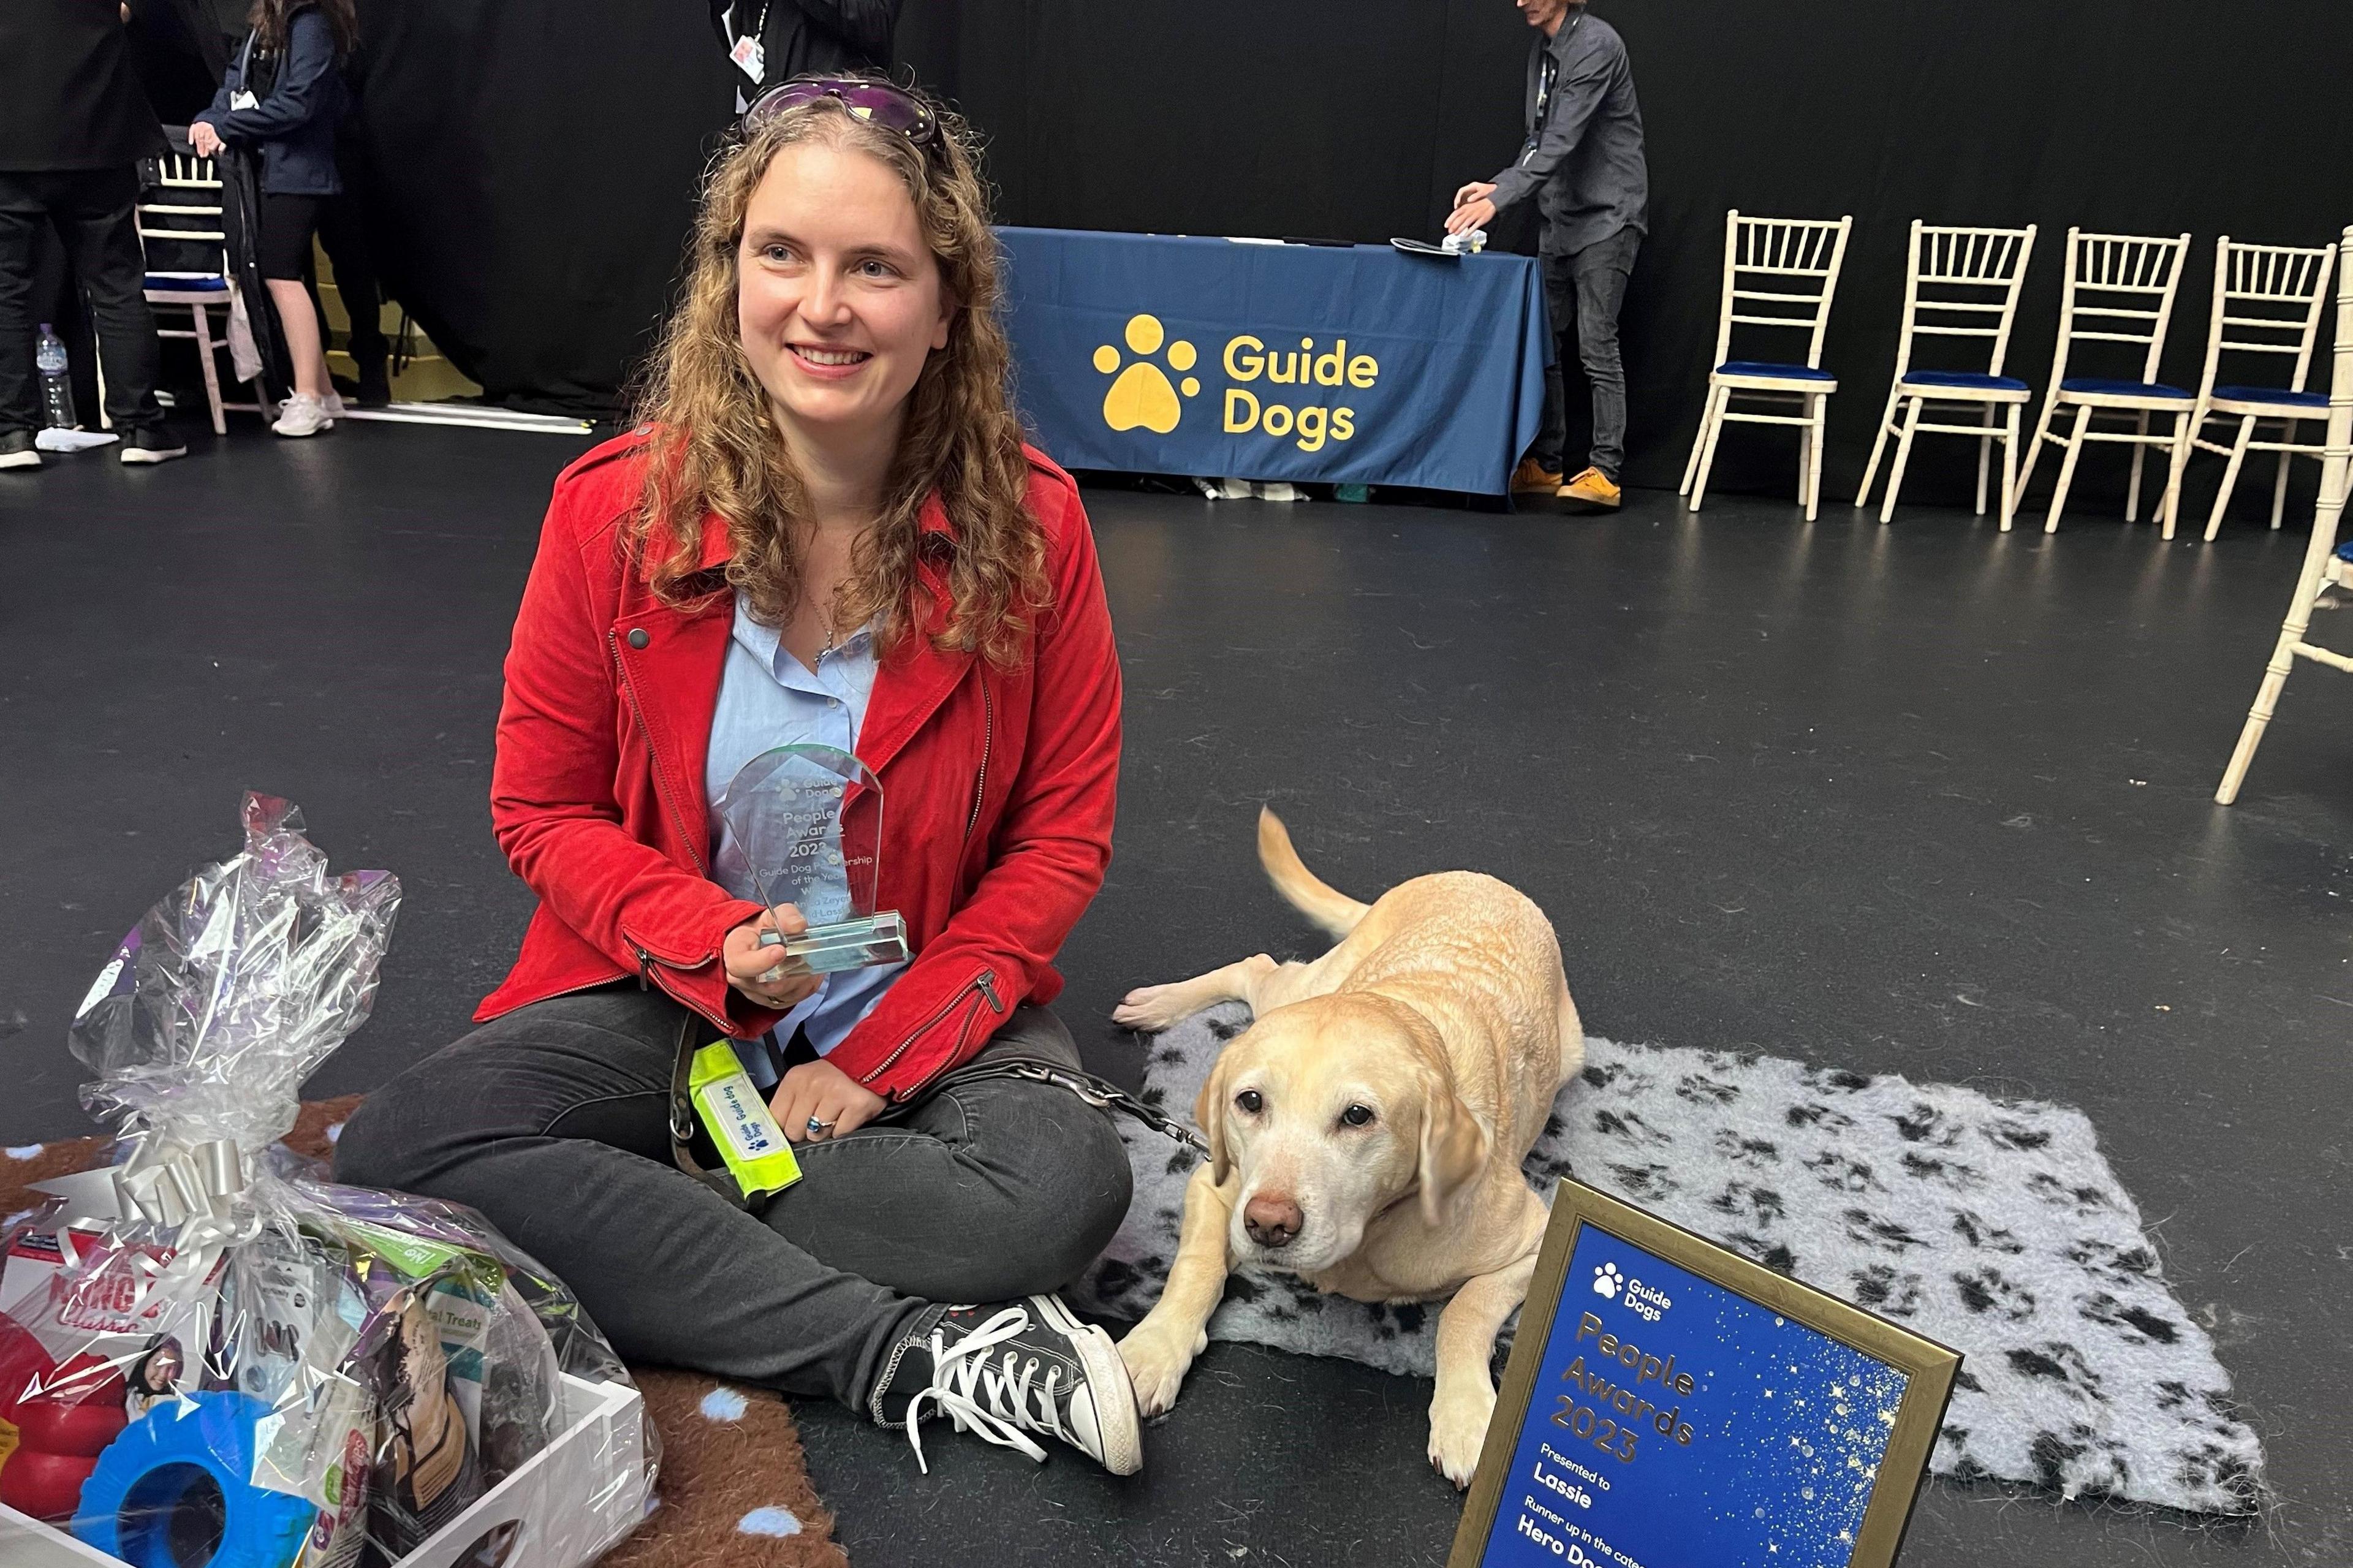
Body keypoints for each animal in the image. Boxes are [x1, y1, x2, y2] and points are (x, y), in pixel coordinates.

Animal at [1105, 805, 1581, 1478]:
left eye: (1358, 1116)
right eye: (1250, 1102)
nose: (1269, 1224)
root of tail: (1472, 877)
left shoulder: (1539, 1239)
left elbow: (1464, 1311)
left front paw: (1465, 1416)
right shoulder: (1214, 1183)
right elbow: (1195, 1266)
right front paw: (1155, 1349)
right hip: (1313, 983)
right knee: (1258, 967)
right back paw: (1162, 1003)